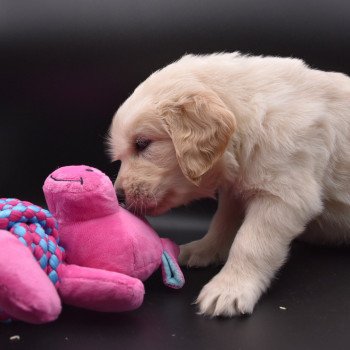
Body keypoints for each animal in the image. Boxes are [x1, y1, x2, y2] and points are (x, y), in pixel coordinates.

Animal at [108, 52, 350, 318]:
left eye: (142, 143)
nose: (118, 196)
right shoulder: (235, 191)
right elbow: (222, 223)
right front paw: (203, 249)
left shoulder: (283, 196)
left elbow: (250, 243)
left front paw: (229, 288)